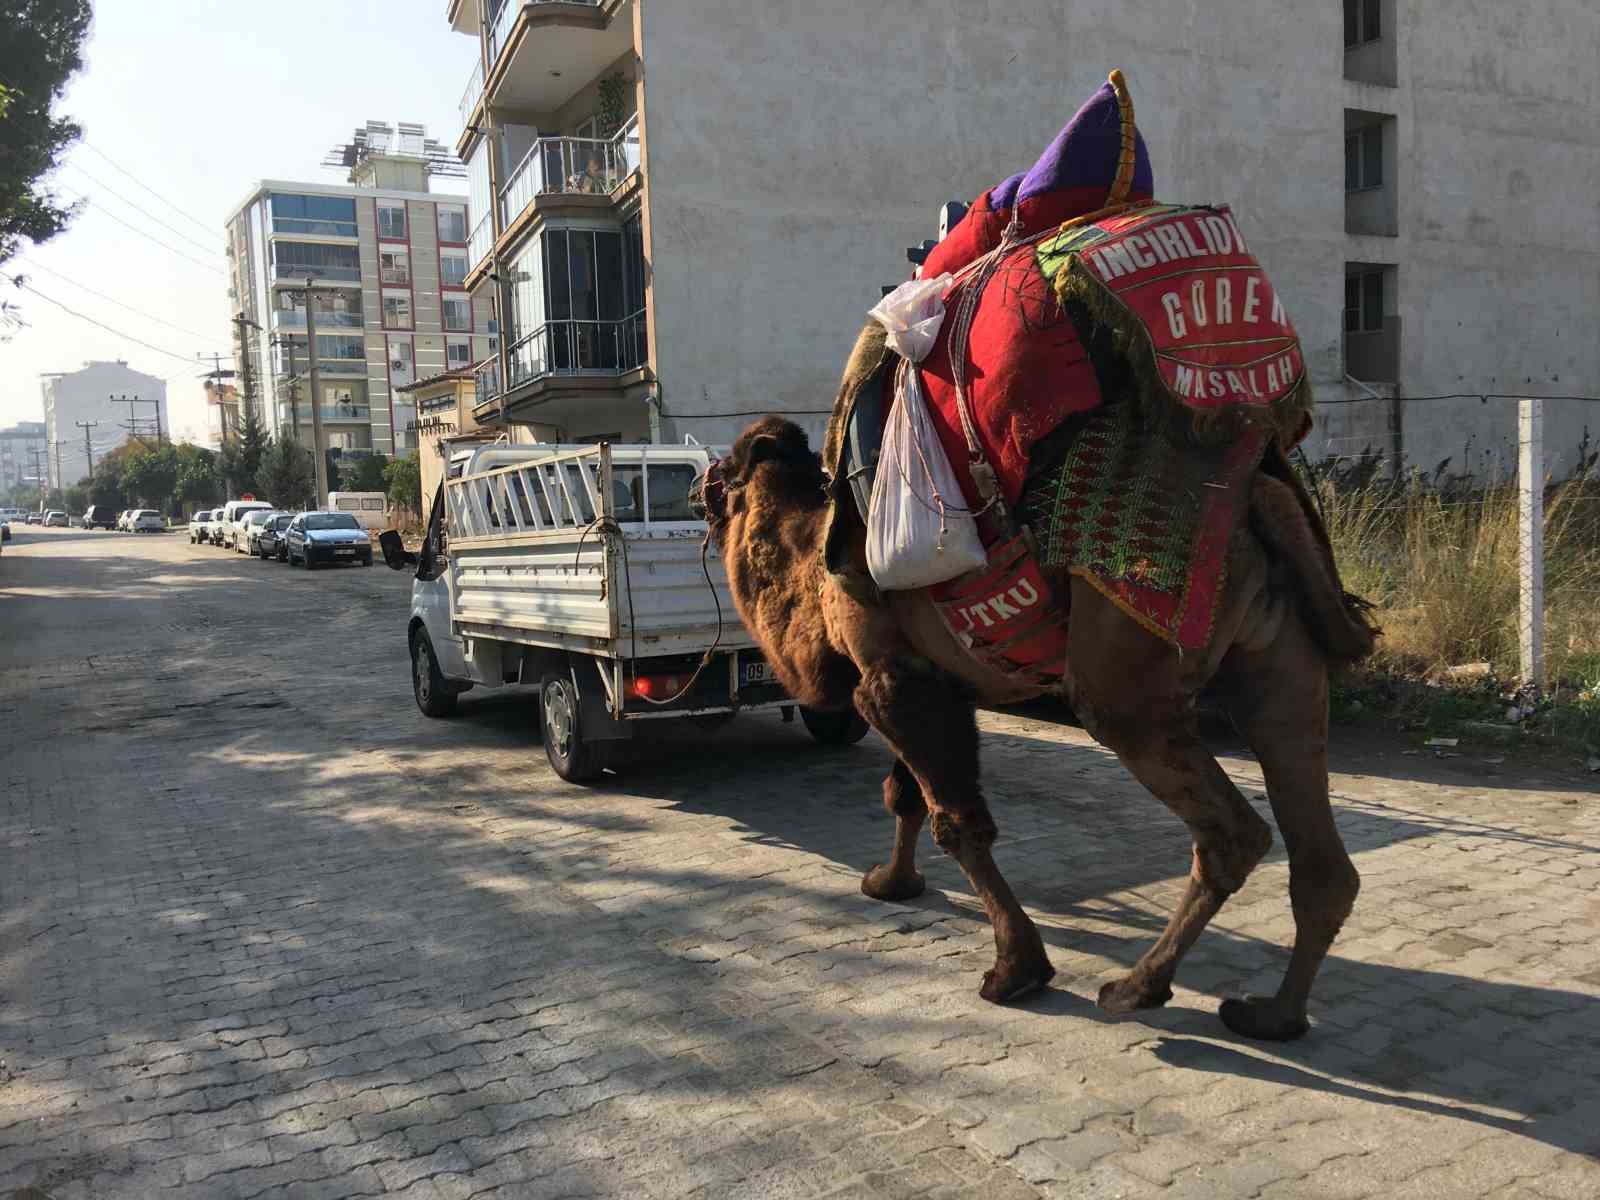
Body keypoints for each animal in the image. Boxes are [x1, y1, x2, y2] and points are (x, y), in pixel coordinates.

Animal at [697, 395, 1376, 1043]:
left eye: (724, 470)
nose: (699, 485)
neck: (812, 559)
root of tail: (1255, 497)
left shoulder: (889, 677)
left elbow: (955, 822)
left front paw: (1015, 969)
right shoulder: (932, 673)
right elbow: (905, 794)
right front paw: (891, 881)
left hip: (1126, 663)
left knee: (1229, 829)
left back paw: (1136, 988)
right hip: (1279, 659)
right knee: (1313, 831)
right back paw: (1275, 1015)